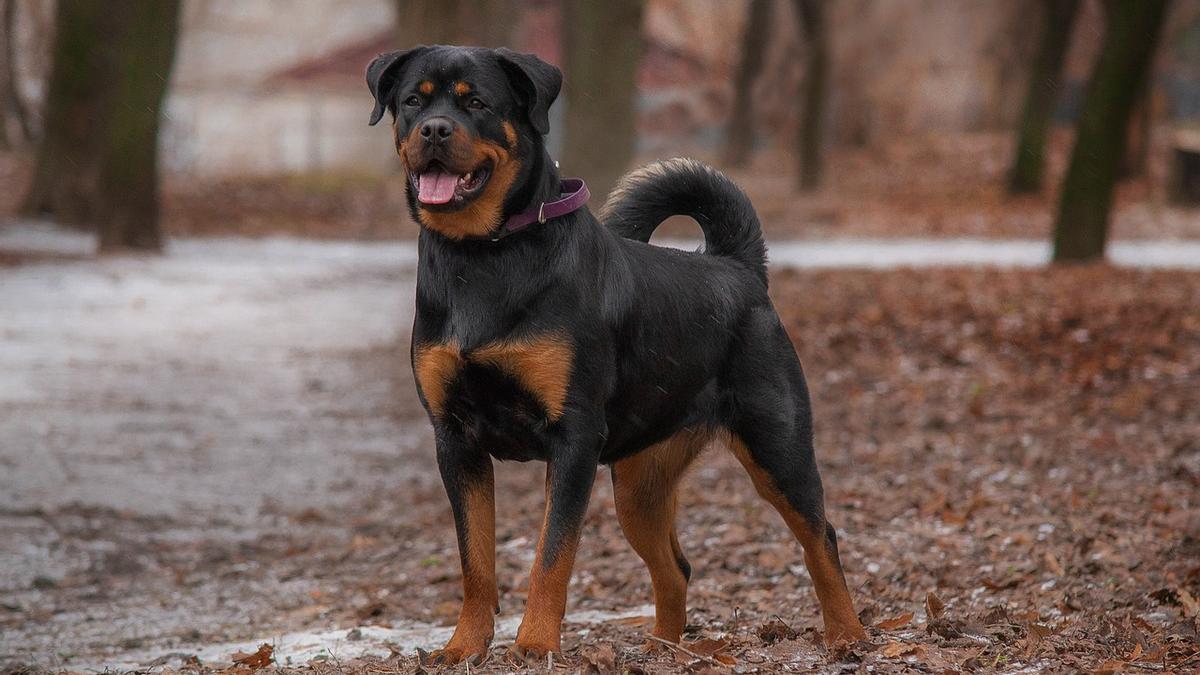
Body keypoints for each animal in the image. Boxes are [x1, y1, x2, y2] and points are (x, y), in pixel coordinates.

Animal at [364, 47, 864, 662]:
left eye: (476, 102)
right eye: (413, 100)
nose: (434, 128)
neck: (483, 256)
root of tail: (739, 267)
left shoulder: (573, 438)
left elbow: (552, 556)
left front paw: (535, 644)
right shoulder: (456, 441)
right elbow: (474, 563)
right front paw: (464, 647)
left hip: (778, 448)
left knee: (821, 538)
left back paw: (848, 636)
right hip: (639, 486)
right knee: (676, 567)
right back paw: (664, 651)